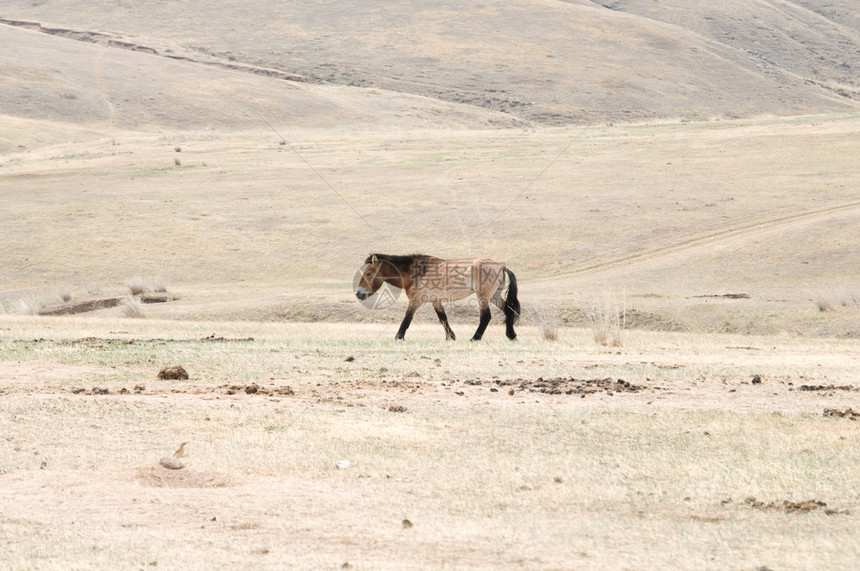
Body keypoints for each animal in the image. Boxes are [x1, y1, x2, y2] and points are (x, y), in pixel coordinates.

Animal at [354, 254, 520, 342]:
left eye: (368, 273)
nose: (358, 293)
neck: (415, 272)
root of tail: (501, 266)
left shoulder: (416, 301)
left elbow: (407, 319)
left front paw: (399, 337)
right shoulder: (436, 301)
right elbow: (443, 319)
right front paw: (450, 337)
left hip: (483, 297)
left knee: (486, 316)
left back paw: (475, 338)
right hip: (495, 296)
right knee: (508, 310)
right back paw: (511, 336)